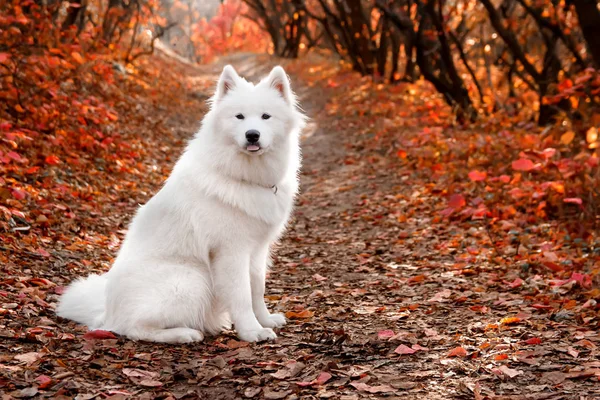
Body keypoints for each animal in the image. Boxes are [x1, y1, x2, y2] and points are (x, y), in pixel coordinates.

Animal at [56, 65, 304, 344]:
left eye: (265, 116)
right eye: (239, 117)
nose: (252, 135)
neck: (243, 175)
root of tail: (106, 313)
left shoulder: (257, 250)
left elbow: (257, 290)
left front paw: (265, 320)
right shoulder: (231, 252)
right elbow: (241, 295)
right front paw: (251, 331)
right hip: (191, 280)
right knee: (133, 329)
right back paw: (184, 334)